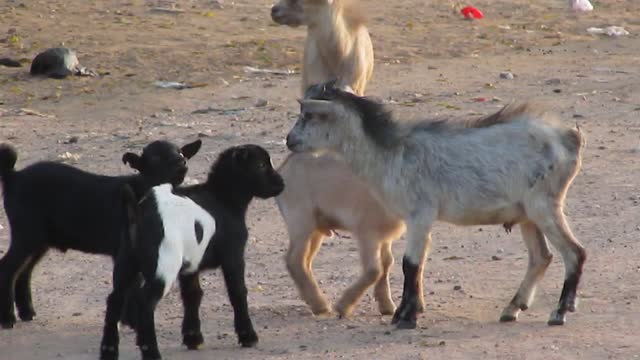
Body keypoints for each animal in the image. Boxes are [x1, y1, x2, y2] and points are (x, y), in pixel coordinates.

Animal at [284, 83, 584, 330]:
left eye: (309, 115)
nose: (289, 140)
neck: (392, 152)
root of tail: (568, 138)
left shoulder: (420, 215)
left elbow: (410, 264)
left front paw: (406, 317)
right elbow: (416, 265)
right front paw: (405, 312)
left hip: (544, 206)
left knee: (574, 253)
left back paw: (559, 312)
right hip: (527, 215)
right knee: (541, 257)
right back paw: (512, 309)